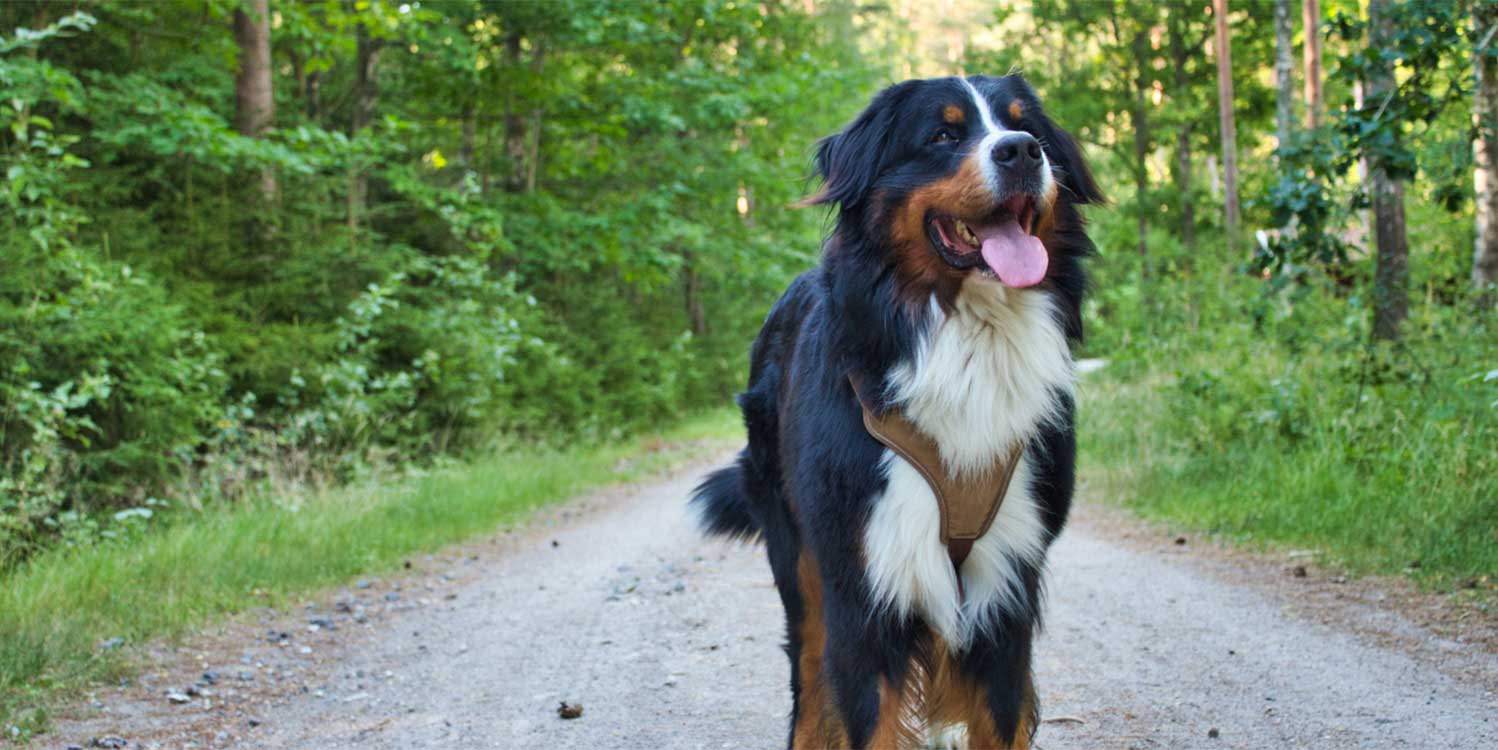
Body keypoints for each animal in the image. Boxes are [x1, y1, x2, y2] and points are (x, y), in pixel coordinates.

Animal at [689, 77, 1102, 748]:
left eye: (1028, 126)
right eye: (942, 134)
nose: (1021, 151)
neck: (966, 341)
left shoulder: (1007, 590)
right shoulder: (863, 588)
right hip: (799, 562)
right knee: (809, 683)